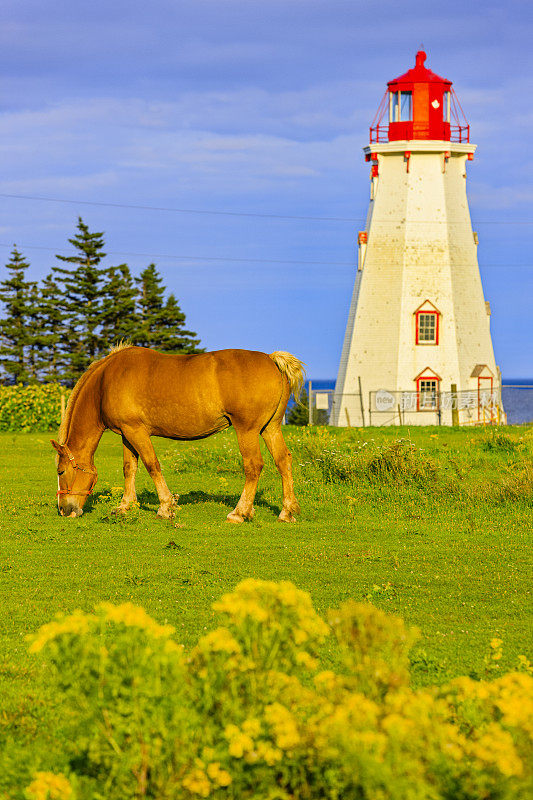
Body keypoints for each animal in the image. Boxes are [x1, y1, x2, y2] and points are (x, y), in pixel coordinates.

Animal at [53, 346, 308, 524]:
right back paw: (286, 511)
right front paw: (125, 505)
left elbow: (152, 465)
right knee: (283, 461)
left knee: (253, 466)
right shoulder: (126, 434)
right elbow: (129, 468)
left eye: (61, 471)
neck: (106, 382)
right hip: (270, 428)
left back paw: (239, 512)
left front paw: (166, 507)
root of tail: (271, 359)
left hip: (247, 431)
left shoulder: (137, 431)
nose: (64, 510)